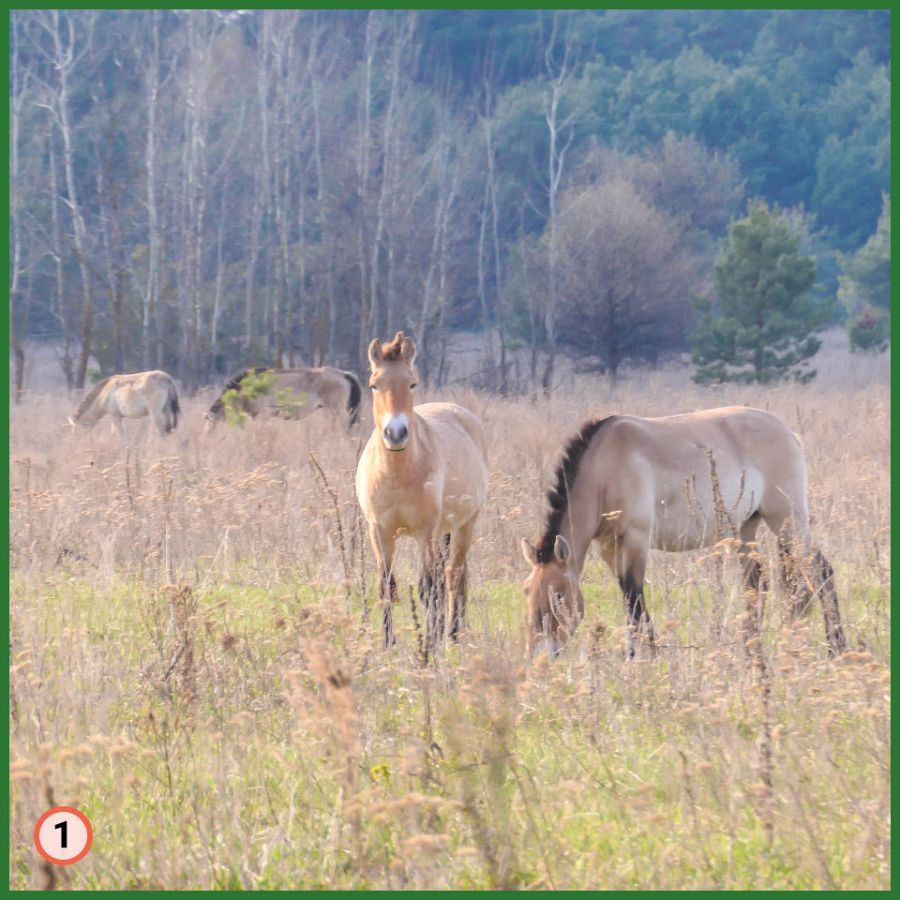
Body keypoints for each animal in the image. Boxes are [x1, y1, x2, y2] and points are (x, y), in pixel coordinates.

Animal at [356, 332, 488, 649]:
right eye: (375, 384)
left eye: (412, 383)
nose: (396, 433)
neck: (396, 474)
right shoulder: (379, 532)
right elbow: (387, 586)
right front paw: (388, 645)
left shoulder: (424, 533)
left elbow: (428, 588)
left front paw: (427, 645)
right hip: (443, 533)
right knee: (445, 578)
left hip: (464, 525)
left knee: (453, 577)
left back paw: (451, 636)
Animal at [520, 407, 847, 659]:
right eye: (527, 591)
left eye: (558, 596)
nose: (540, 655)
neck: (606, 467)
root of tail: (787, 432)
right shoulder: (609, 548)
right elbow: (627, 597)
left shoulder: (635, 541)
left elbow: (634, 597)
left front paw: (647, 657)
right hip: (746, 527)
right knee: (758, 582)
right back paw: (750, 647)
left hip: (787, 520)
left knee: (820, 572)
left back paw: (837, 648)